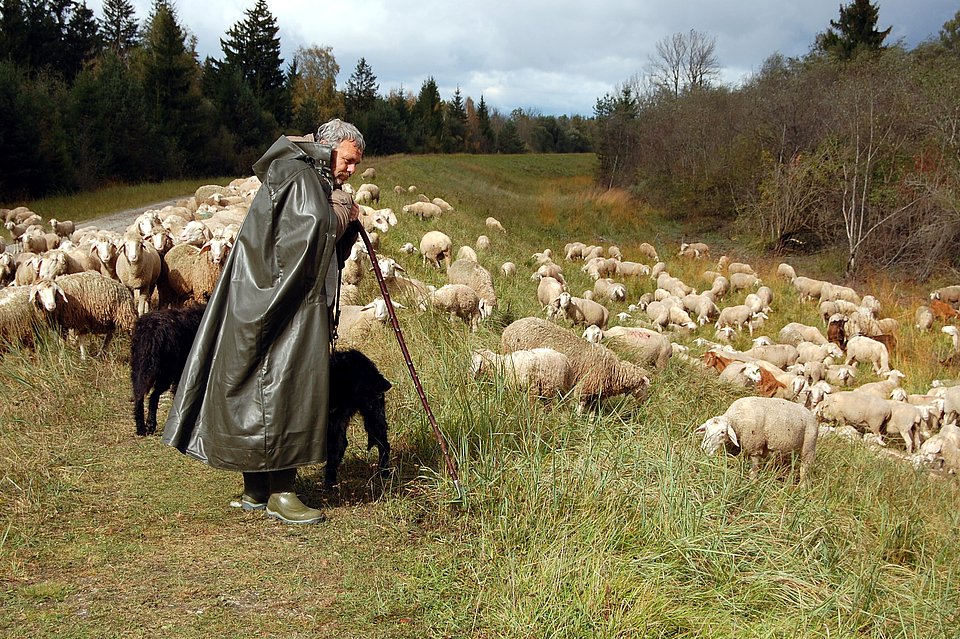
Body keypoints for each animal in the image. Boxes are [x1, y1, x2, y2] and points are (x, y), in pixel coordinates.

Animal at [502, 318, 652, 412]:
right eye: (645, 387)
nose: (644, 403)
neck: (614, 371)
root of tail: (508, 328)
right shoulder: (584, 388)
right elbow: (579, 410)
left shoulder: (595, 395)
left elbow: (592, 416)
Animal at [692, 398, 820, 482]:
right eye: (706, 428)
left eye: (722, 432)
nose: (704, 449)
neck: (736, 420)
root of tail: (811, 415)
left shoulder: (754, 448)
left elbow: (753, 471)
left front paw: (752, 484)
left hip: (809, 447)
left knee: (804, 470)